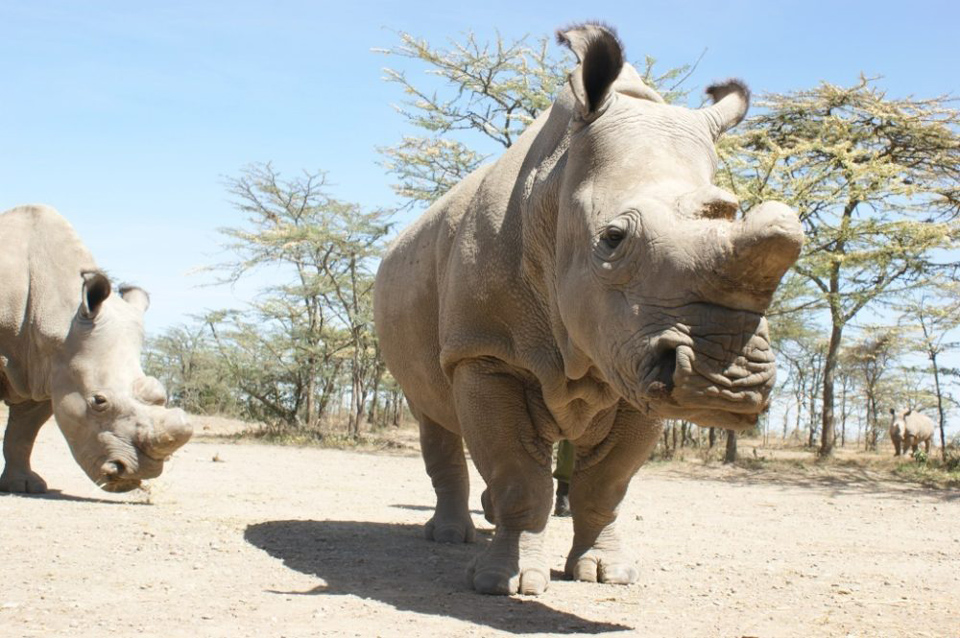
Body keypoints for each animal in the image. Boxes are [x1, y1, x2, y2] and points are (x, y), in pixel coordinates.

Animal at [376, 22, 804, 596]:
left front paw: (607, 574)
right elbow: (518, 477)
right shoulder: (486, 352)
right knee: (432, 413)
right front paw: (506, 584)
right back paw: (450, 538)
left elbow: (606, 483)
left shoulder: (635, 363)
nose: (728, 386)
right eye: (613, 239)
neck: (554, 192)